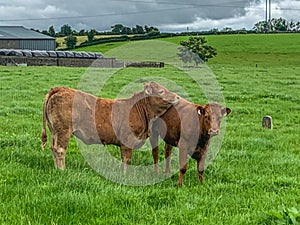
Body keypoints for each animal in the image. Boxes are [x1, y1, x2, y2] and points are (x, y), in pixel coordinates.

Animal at [41, 81, 179, 171]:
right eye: (161, 91)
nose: (177, 97)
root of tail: (60, 88)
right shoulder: (127, 141)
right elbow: (127, 159)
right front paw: (126, 176)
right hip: (64, 131)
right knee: (60, 149)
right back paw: (62, 170)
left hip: (54, 130)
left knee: (53, 148)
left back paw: (56, 169)